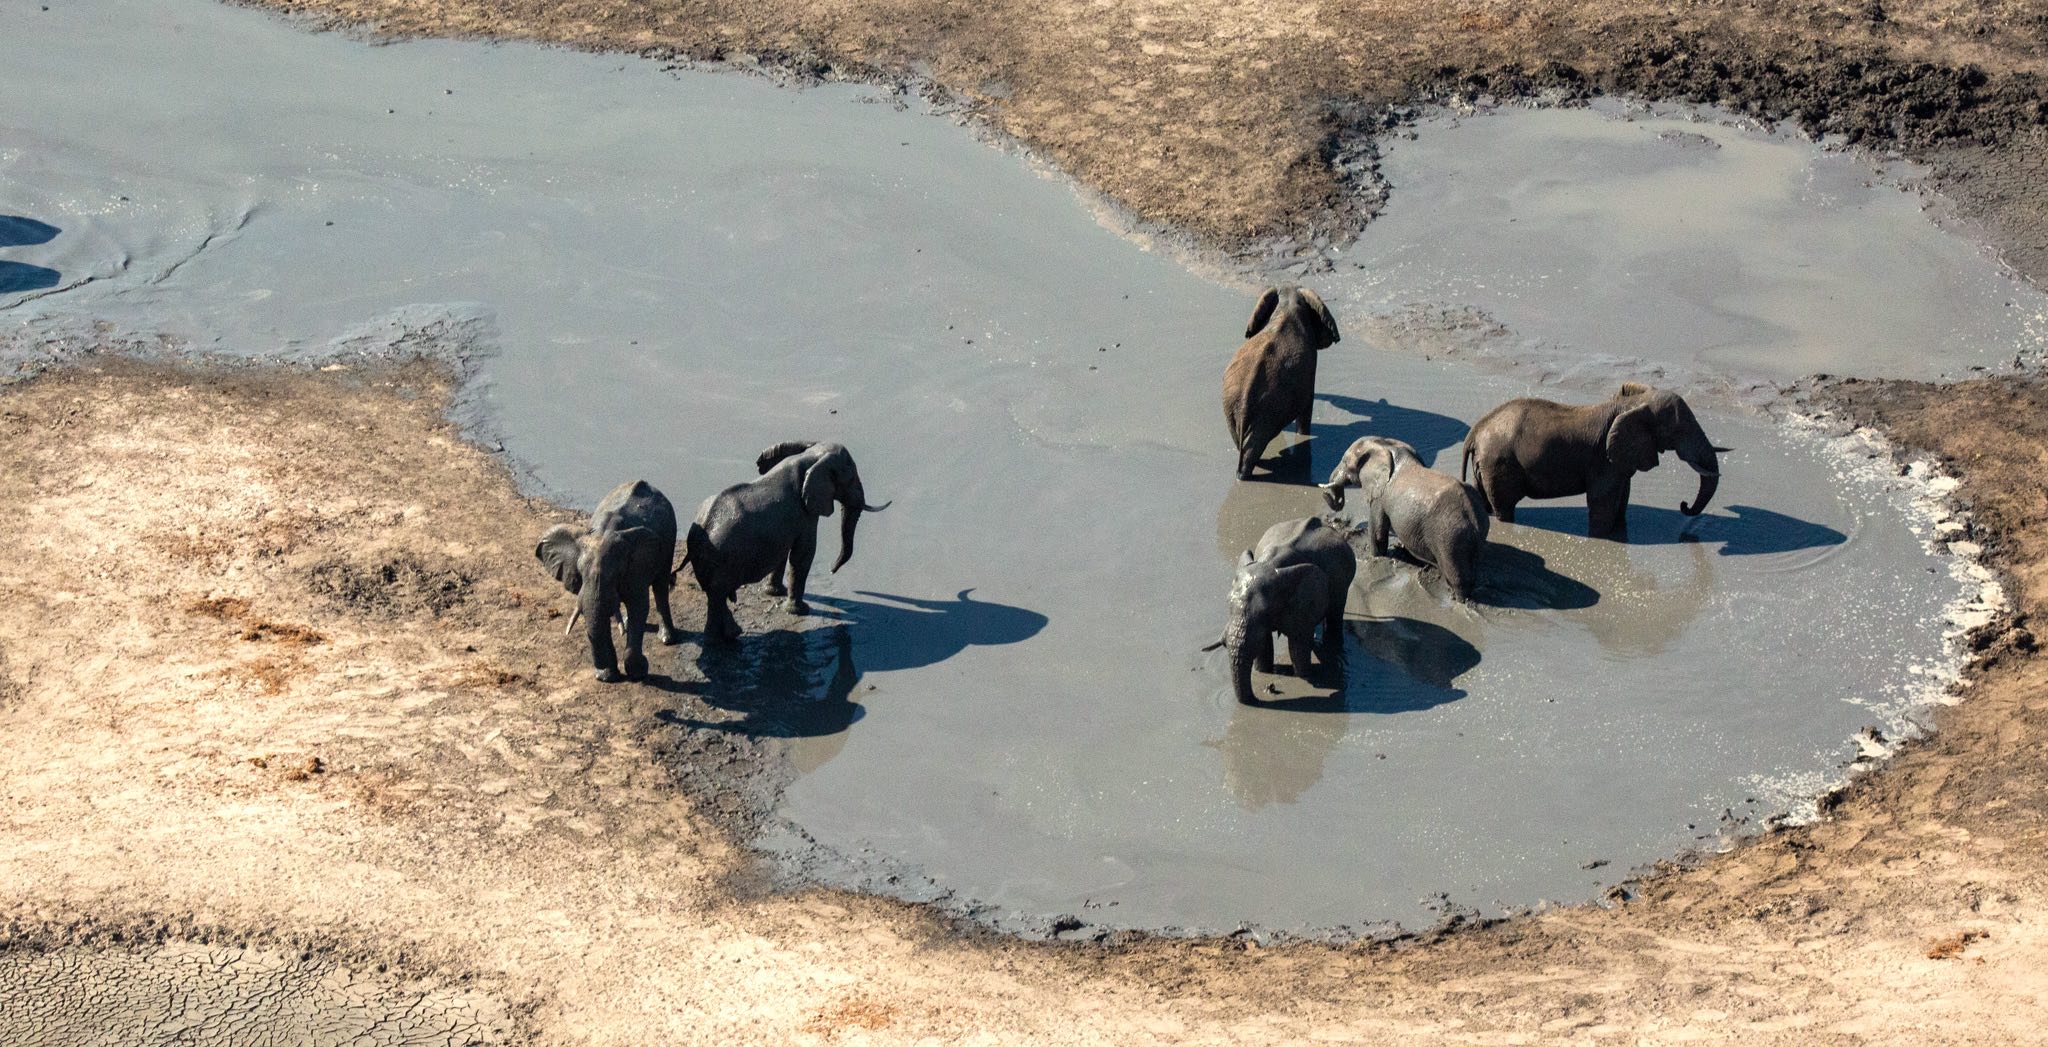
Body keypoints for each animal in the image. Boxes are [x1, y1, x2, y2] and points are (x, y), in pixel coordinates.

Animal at [535, 479, 680, 682]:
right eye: (580, 573)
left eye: (616, 574)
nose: (603, 677)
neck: (606, 531)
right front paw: (607, 677)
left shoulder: (637, 567)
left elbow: (639, 605)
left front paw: (639, 672)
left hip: (669, 538)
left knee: (660, 586)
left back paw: (667, 639)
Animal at [683, 441, 890, 644]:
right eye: (851, 479)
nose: (832, 570)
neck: (810, 456)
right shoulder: (804, 513)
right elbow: (804, 554)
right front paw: (799, 611)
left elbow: (784, 553)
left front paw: (775, 593)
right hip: (722, 560)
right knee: (718, 594)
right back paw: (720, 640)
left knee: (715, 594)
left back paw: (729, 635)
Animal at [1204, 516, 1358, 705]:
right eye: (1227, 604)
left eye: (1265, 611)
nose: (1267, 690)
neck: (1269, 563)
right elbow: (1264, 645)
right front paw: (1264, 672)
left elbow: (1297, 647)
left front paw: (1305, 676)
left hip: (1344, 579)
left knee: (1335, 614)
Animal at [1321, 436, 1489, 598]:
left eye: (1344, 462)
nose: (1327, 495)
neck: (1386, 446)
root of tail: (1472, 514)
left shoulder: (1380, 496)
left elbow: (1378, 533)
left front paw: (1375, 557)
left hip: (1450, 538)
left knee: (1458, 580)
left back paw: (1454, 598)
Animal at [1460, 382, 1728, 540]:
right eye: (1678, 430)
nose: (1684, 506)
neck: (1631, 403)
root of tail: (1475, 430)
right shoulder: (1603, 459)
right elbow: (1603, 500)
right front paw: (1603, 537)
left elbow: (1622, 496)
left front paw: (1618, 531)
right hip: (1499, 464)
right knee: (1504, 507)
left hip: (1487, 465)